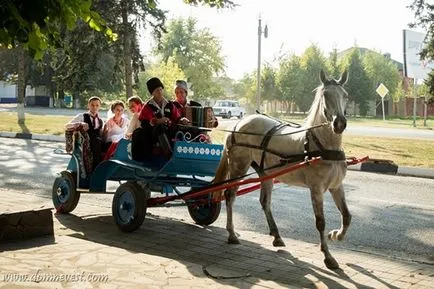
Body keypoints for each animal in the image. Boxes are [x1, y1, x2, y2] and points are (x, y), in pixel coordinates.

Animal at [215, 69, 350, 268]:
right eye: (325, 95)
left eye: (345, 95)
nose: (339, 123)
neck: (322, 145)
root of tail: (238, 124)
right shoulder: (316, 189)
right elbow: (320, 222)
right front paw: (328, 256)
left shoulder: (336, 186)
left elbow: (346, 216)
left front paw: (335, 235)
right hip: (239, 167)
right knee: (230, 195)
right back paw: (232, 234)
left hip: (266, 173)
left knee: (265, 202)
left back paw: (277, 235)